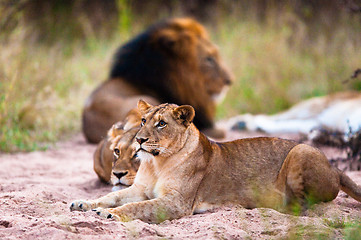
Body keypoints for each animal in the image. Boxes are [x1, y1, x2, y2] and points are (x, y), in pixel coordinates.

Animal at [69, 100, 360, 223]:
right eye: (143, 121)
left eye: (161, 124)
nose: (140, 139)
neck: (156, 163)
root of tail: (335, 167)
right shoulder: (139, 189)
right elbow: (112, 195)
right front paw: (84, 203)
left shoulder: (176, 202)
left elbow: (137, 208)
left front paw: (111, 214)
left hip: (301, 150)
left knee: (304, 206)